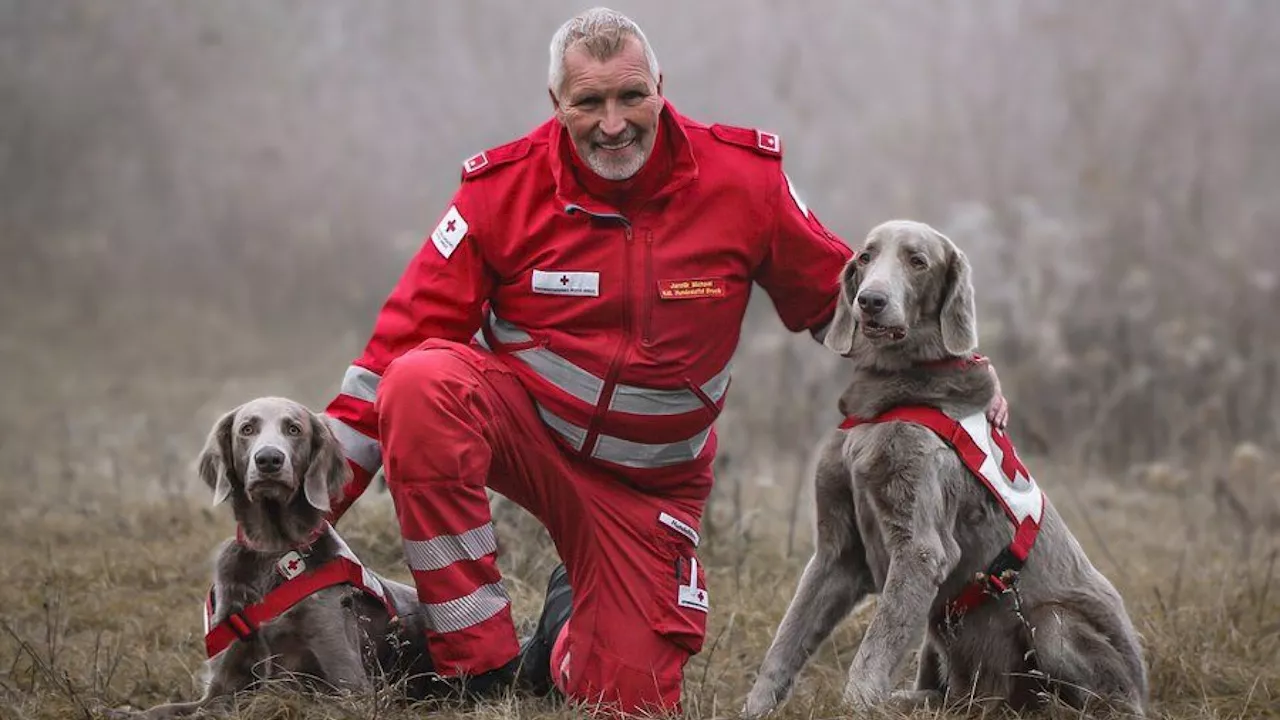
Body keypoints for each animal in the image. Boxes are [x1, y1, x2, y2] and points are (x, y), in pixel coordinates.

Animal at [742, 221, 1152, 712]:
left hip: (1053, 625)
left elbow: (873, 651)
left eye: (917, 261)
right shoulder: (837, 550)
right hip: (941, 646)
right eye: (865, 257)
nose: (871, 300)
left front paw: (856, 707)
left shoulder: (920, 549)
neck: (892, 396)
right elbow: (787, 640)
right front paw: (753, 707)